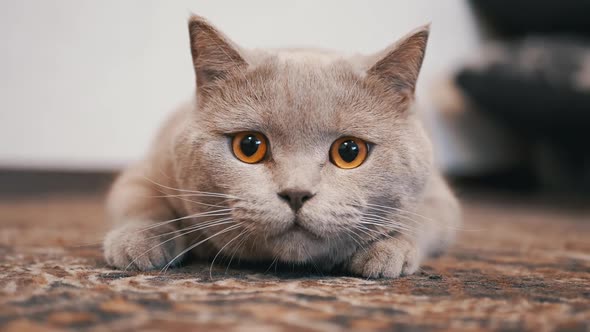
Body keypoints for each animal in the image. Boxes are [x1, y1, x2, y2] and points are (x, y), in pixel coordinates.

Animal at [103, 16, 462, 280]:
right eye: (249, 146)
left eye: (349, 151)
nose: (296, 194)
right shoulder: (148, 170)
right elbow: (142, 203)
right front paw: (140, 243)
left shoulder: (439, 198)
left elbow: (420, 220)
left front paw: (389, 251)